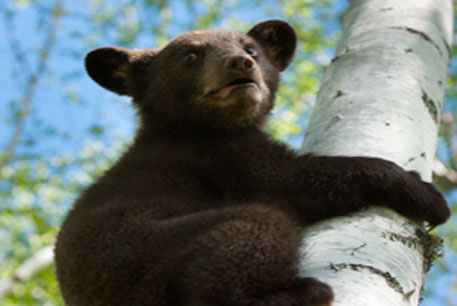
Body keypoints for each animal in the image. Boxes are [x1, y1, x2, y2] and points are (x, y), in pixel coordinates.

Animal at [54, 20, 448, 304]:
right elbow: (291, 181)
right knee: (253, 232)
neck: (197, 128)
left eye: (250, 48)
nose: (239, 63)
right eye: (191, 56)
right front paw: (428, 196)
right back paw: (303, 293)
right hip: (151, 253)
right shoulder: (221, 157)